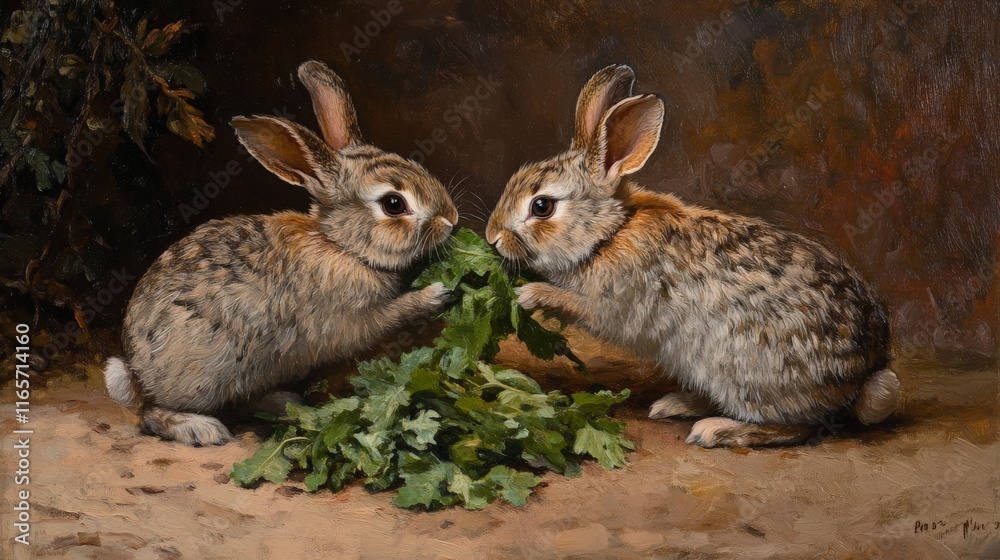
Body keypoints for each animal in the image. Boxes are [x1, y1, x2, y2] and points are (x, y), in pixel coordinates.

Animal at [103, 59, 459, 446]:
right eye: (394, 204)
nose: (451, 220)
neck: (339, 245)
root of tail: (138, 375)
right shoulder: (351, 320)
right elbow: (391, 316)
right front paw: (435, 294)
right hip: (200, 372)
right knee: (152, 413)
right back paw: (200, 429)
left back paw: (282, 402)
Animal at [486, 65, 900, 448]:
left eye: (542, 206)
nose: (492, 238)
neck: (610, 233)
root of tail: (863, 374)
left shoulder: (615, 303)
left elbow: (580, 306)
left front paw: (530, 295)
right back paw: (675, 404)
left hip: (744, 369)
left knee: (796, 425)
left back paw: (716, 430)